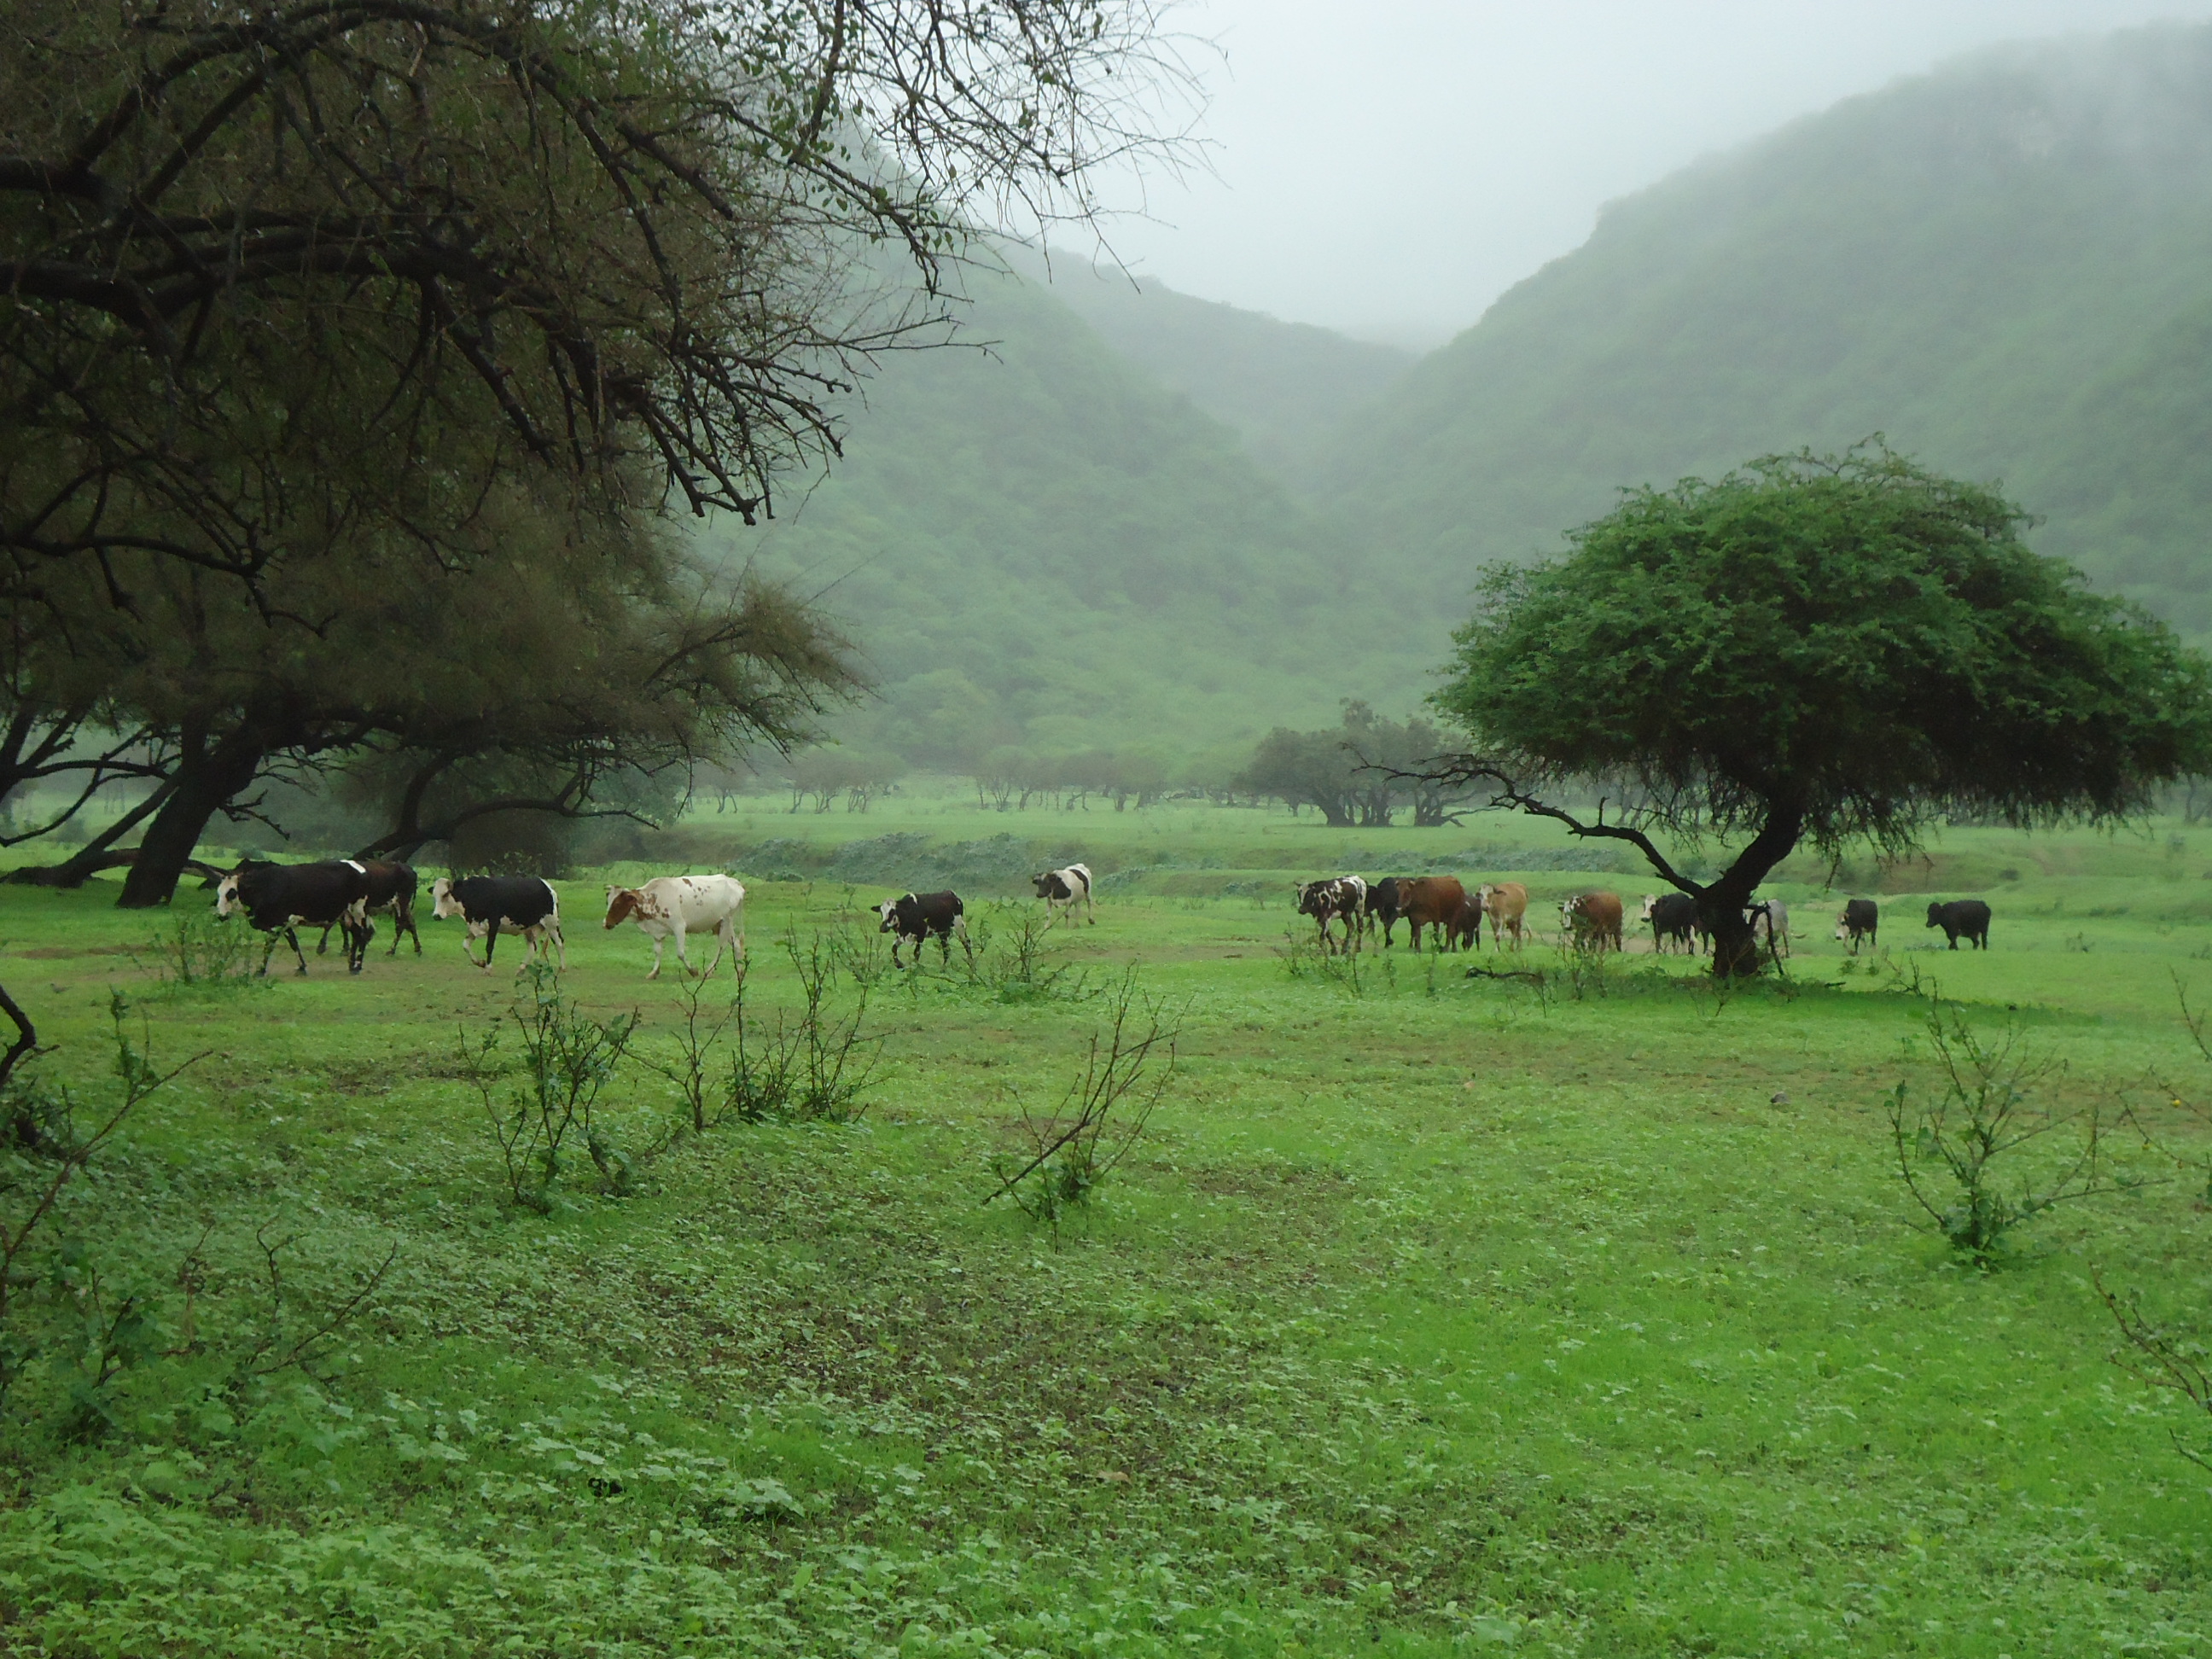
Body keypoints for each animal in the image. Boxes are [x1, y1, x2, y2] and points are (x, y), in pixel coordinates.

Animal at [215, 862, 371, 981]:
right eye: (219, 892)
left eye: (232, 893)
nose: (220, 915)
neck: (264, 888)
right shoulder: (284, 923)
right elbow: (294, 944)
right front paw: (302, 968)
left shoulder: (277, 924)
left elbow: (268, 948)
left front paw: (260, 971)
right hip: (346, 915)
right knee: (356, 935)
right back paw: (352, 965)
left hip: (358, 910)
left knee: (363, 935)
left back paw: (357, 967)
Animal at [422, 871, 562, 973]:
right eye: (434, 896)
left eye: (446, 894)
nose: (436, 916)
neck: (475, 894)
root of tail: (546, 885)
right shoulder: (474, 925)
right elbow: (466, 945)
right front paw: (480, 963)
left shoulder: (494, 925)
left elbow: (489, 947)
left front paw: (488, 968)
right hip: (528, 928)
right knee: (533, 947)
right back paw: (521, 969)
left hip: (551, 923)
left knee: (559, 943)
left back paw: (562, 968)